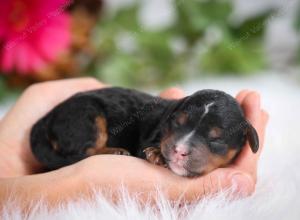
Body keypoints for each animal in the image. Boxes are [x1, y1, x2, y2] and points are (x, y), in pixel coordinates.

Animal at [30, 87, 258, 177]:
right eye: (177, 123)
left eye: (216, 139)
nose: (179, 151)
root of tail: (48, 117)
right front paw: (157, 154)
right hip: (85, 118)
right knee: (82, 151)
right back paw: (115, 151)